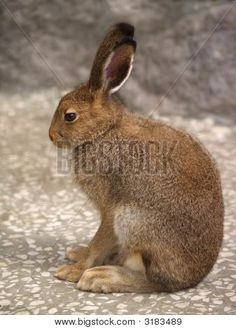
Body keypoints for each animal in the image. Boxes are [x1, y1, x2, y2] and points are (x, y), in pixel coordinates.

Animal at [49, 23, 223, 292]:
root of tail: (191, 279)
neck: (104, 131)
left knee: (151, 281)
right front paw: (79, 255)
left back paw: (99, 277)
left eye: (70, 116)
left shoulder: (110, 209)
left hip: (132, 220)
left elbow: (100, 242)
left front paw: (74, 270)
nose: (50, 136)